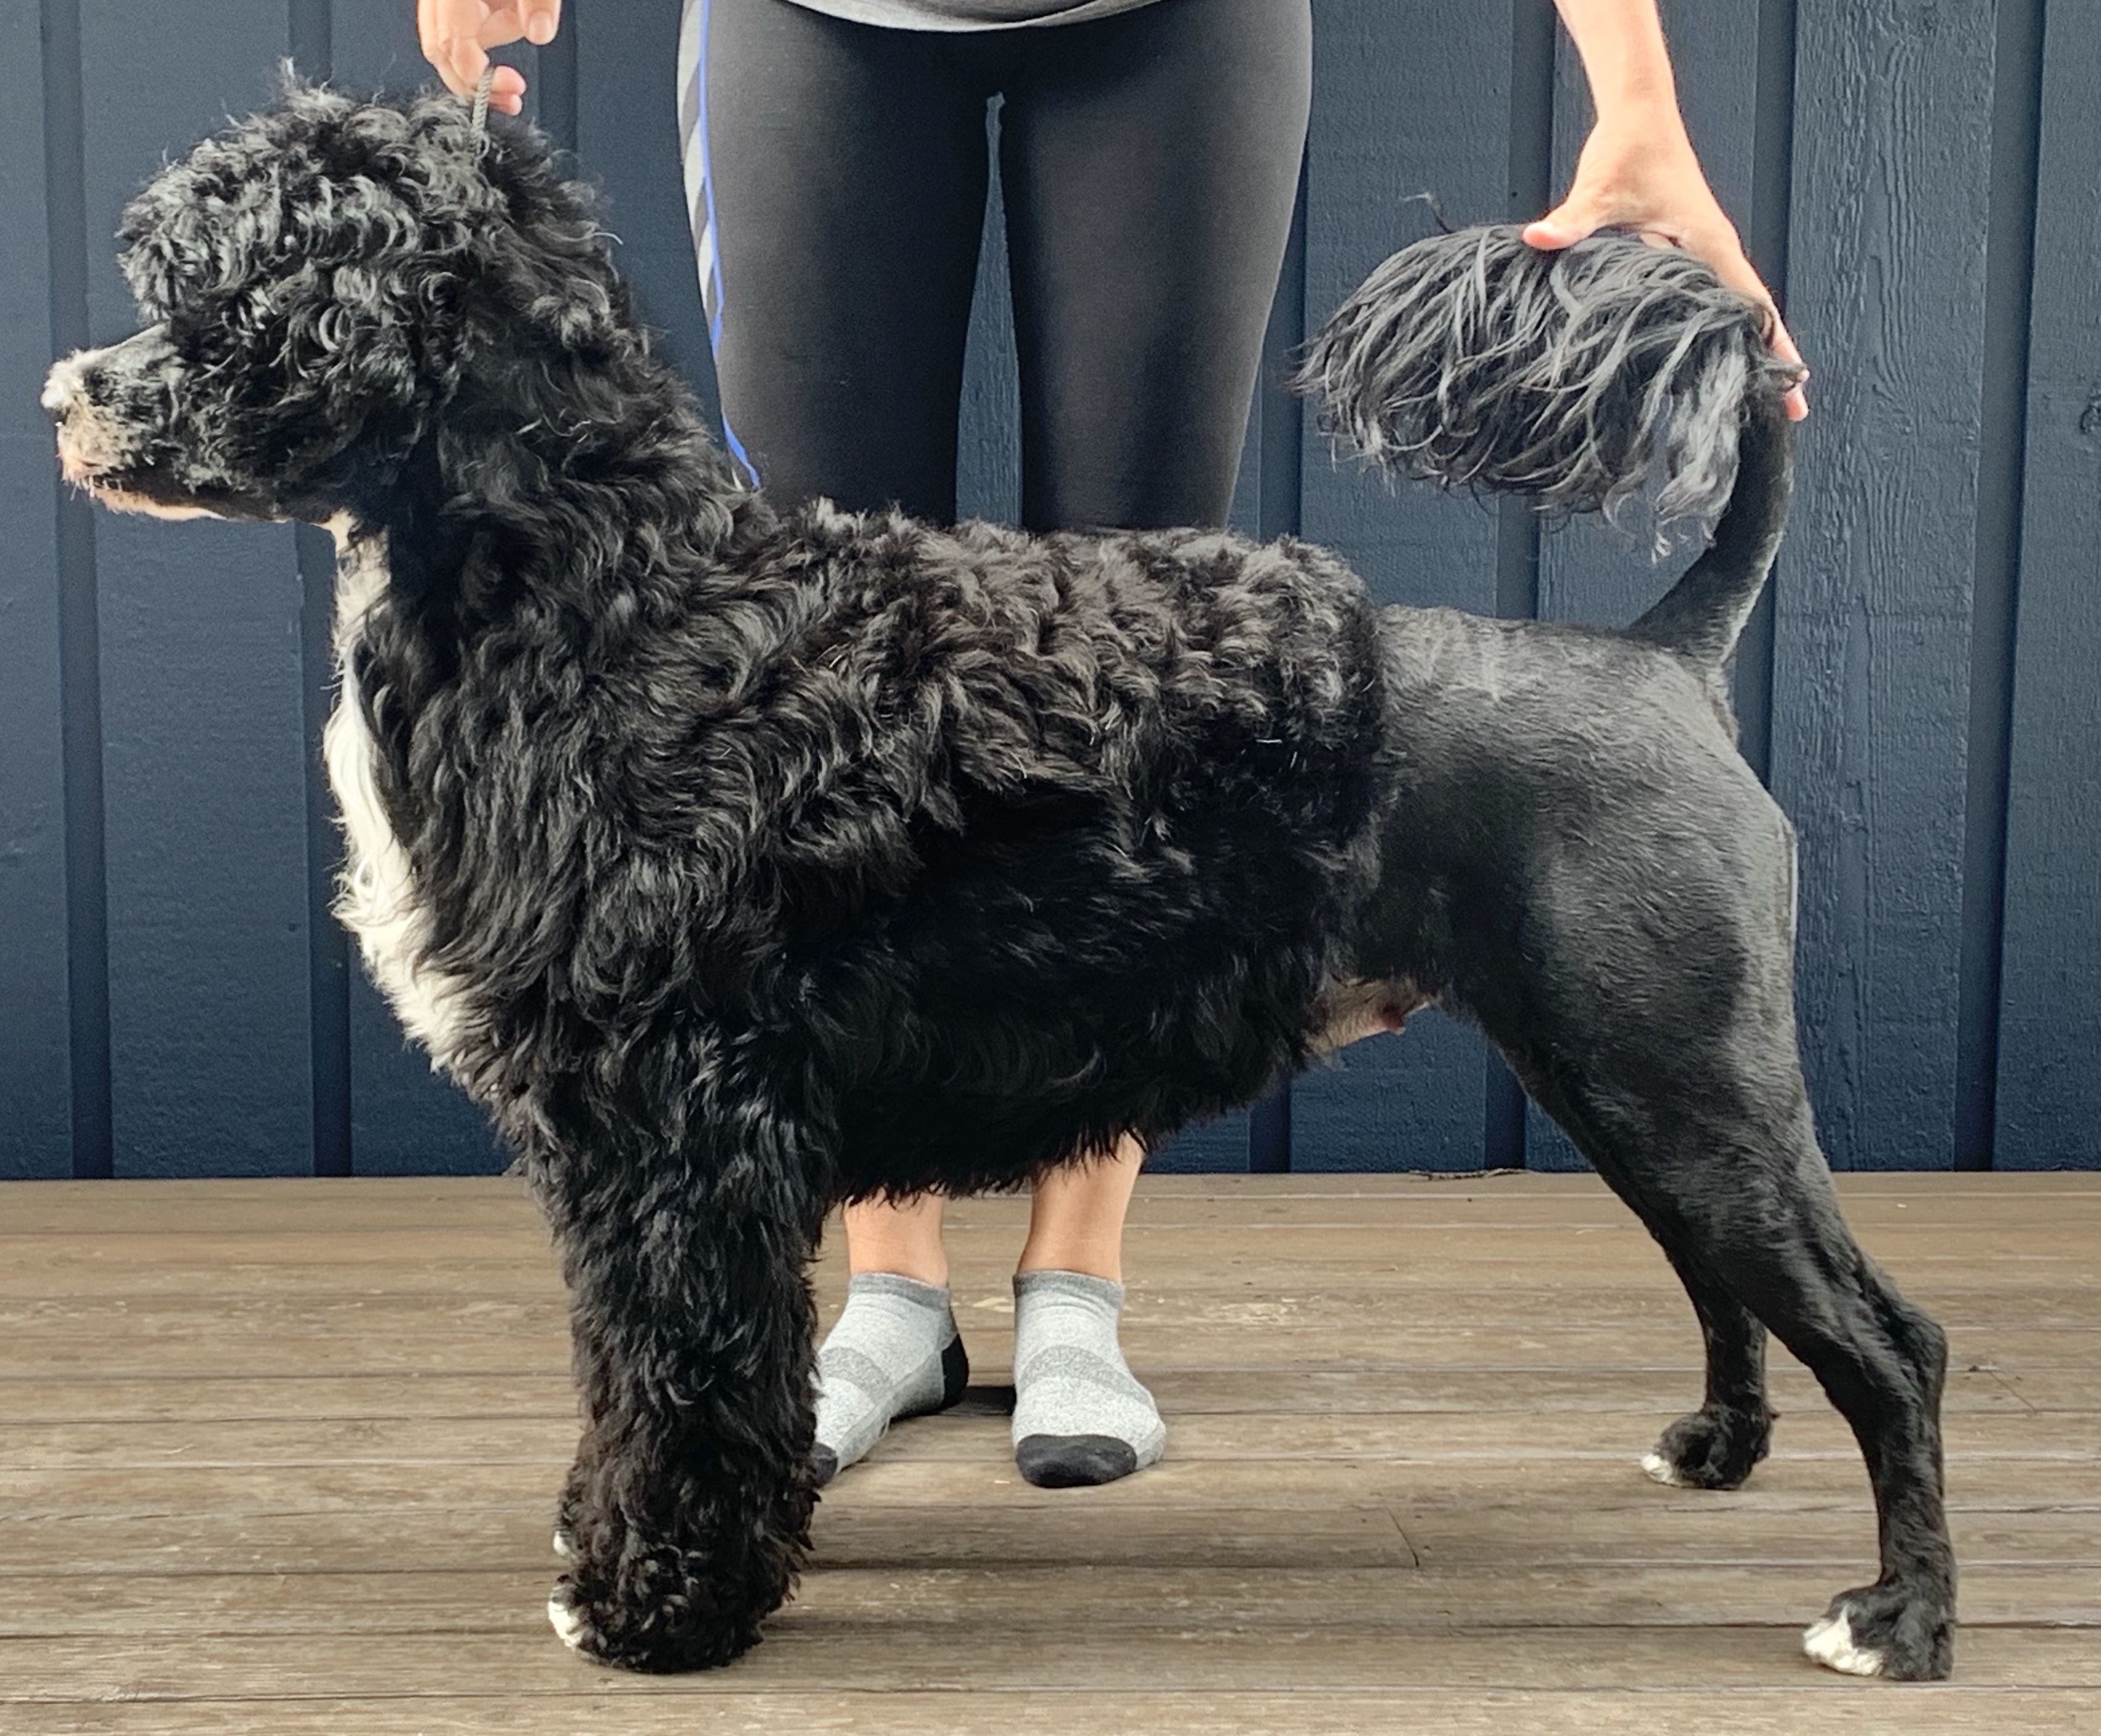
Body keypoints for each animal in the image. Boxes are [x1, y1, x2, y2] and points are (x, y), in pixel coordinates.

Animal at [44, 86, 1954, 1681]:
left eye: (231, 279)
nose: (70, 390)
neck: (613, 597)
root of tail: (1663, 654)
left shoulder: (670, 1132)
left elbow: (675, 1378)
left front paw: (655, 1603)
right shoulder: (656, 1138)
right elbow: (658, 1377)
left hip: (1680, 1076)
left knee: (1886, 1339)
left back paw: (1895, 1619)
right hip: (1623, 1081)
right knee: (1729, 1290)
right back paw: (1716, 1449)